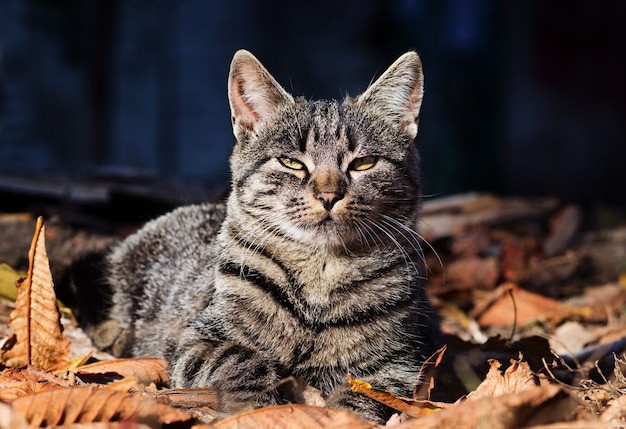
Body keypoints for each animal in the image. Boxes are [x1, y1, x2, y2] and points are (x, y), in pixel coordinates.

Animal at [95, 49, 442, 422]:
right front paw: (256, 406)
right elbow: (241, 358)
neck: (320, 274)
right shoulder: (197, 340)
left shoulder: (403, 365)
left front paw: (343, 416)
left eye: (364, 163)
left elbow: (369, 394)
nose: (329, 195)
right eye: (292, 163)